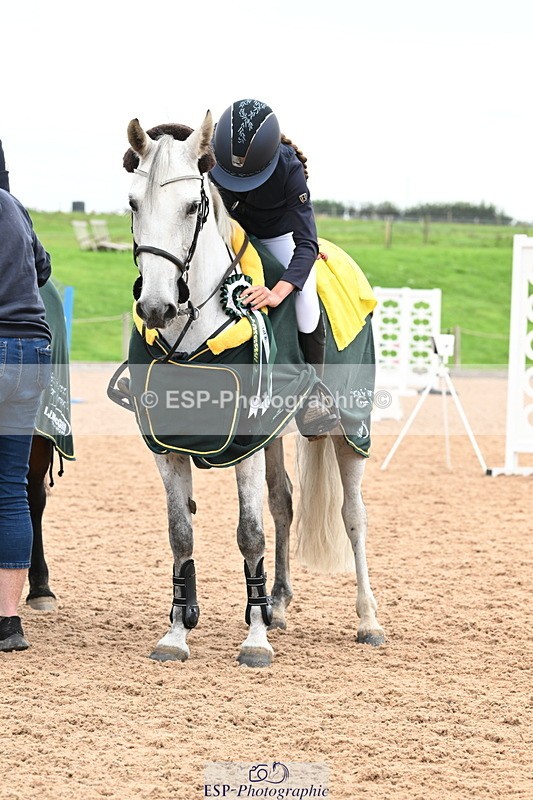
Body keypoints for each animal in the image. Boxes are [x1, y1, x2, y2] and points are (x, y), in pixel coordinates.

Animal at [120, 112, 385, 667]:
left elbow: (249, 533)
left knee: (354, 516)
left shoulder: (245, 442)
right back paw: (278, 604)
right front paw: (177, 632)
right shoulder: (168, 445)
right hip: (276, 434)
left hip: (351, 426)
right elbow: (181, 534)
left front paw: (255, 640)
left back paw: (368, 620)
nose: (155, 308)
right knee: (284, 502)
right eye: (133, 203)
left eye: (193, 206)